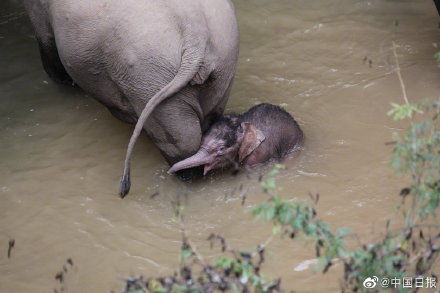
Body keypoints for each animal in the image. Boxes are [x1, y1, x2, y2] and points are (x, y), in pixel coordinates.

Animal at [22, 0, 239, 196]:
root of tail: (196, 35)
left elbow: (50, 53)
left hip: (148, 76)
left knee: (181, 141)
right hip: (223, 65)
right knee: (209, 119)